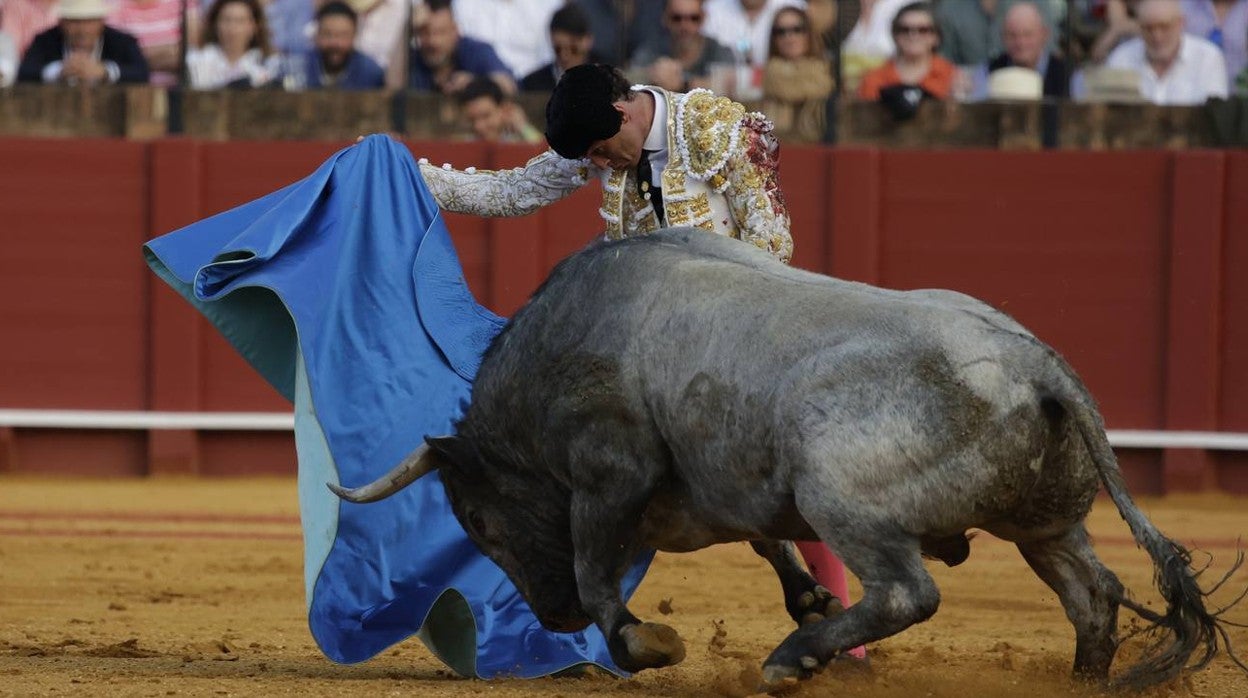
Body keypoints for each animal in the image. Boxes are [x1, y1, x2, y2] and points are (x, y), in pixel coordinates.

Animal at [326, 228, 1243, 689]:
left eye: (477, 520)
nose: (549, 618)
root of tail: (1039, 365)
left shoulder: (608, 475)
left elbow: (596, 572)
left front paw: (644, 642)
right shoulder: (720, 484)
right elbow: (765, 535)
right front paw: (803, 595)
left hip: (845, 494)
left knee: (908, 592)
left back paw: (790, 661)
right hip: (1046, 523)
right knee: (1095, 591)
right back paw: (1083, 679)